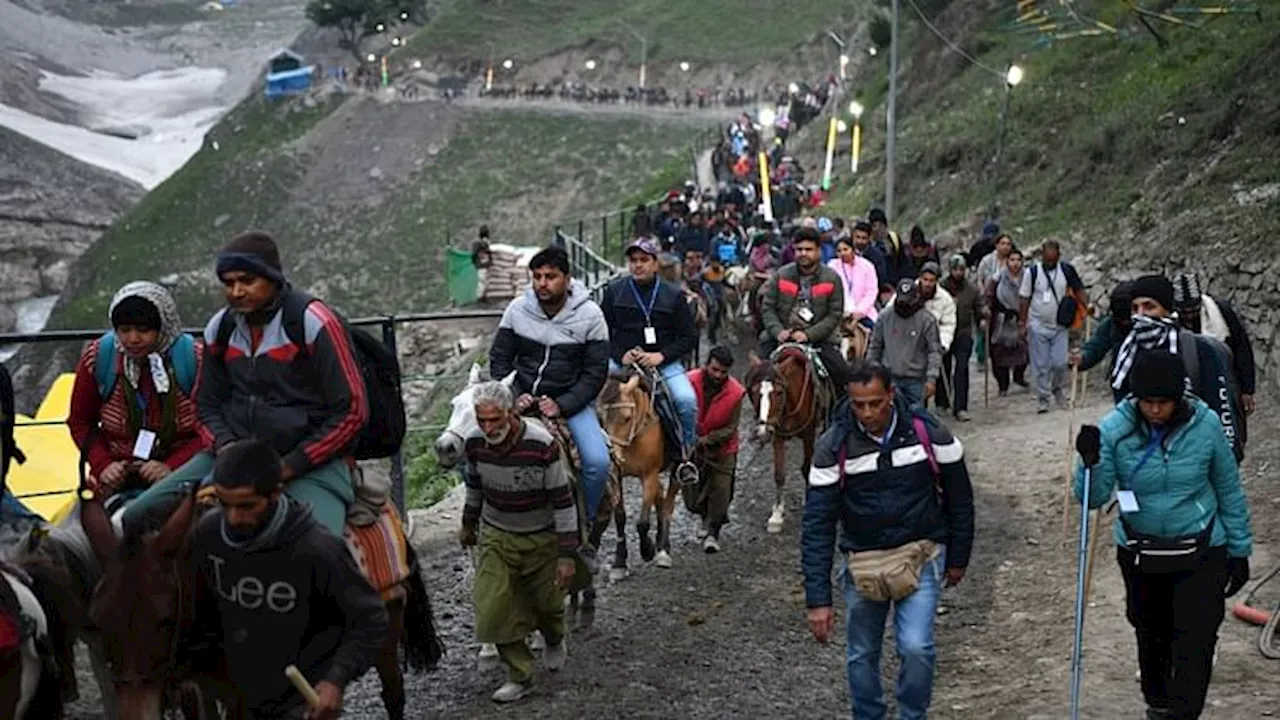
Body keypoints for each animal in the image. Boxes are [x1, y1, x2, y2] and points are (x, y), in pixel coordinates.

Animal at [81, 476, 440, 717]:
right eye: (98, 619)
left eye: (165, 619)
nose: (136, 714)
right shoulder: (201, 687)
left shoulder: (243, 694)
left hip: (386, 634)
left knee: (392, 694)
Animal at [596, 368, 680, 571]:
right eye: (600, 417)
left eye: (626, 417)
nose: (611, 453)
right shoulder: (617, 475)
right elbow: (620, 517)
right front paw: (619, 562)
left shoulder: (649, 475)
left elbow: (642, 522)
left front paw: (647, 550)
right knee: (661, 498)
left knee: (668, 504)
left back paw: (663, 549)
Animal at [747, 340, 824, 532]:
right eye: (754, 392)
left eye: (779, 392)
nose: (762, 432)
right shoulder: (777, 436)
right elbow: (779, 474)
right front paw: (776, 515)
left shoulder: (809, 433)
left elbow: (806, 468)